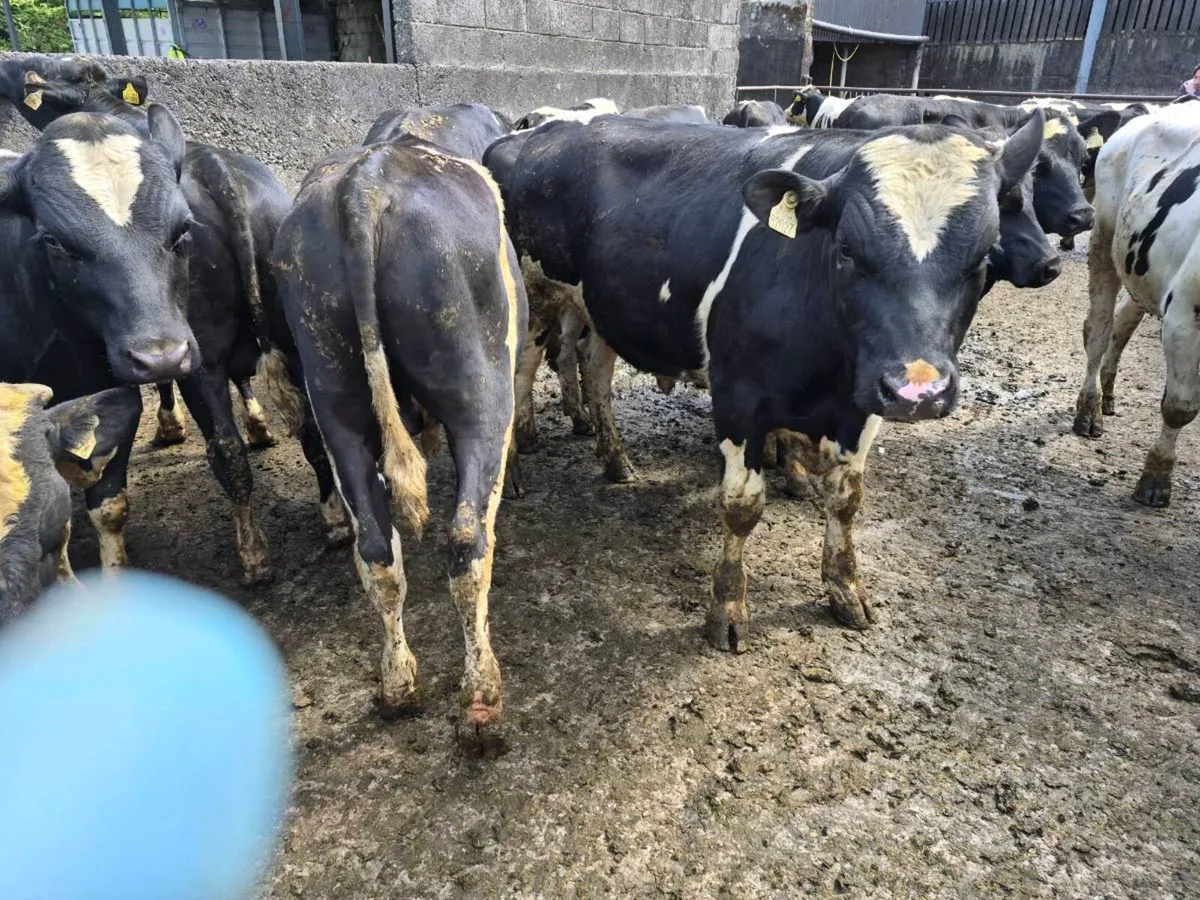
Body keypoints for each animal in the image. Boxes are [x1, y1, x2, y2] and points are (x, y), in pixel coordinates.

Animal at [272, 137, 527, 735]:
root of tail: (365, 184)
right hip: (480, 390)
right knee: (467, 538)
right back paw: (481, 698)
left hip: (332, 383)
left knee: (375, 547)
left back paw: (398, 685)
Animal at [493, 112, 1044, 644]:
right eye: (846, 249)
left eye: (983, 256)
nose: (918, 391)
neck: (827, 374)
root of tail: (538, 132)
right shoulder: (739, 398)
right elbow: (742, 506)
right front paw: (727, 609)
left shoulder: (864, 402)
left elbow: (847, 501)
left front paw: (846, 590)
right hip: (534, 297)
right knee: (520, 376)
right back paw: (516, 468)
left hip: (607, 307)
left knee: (595, 369)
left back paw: (616, 460)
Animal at [1073, 102, 1200, 508]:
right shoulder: (1184, 317)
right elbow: (1179, 407)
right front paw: (1156, 477)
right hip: (1105, 240)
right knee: (1098, 329)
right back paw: (1090, 409)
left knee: (1123, 322)